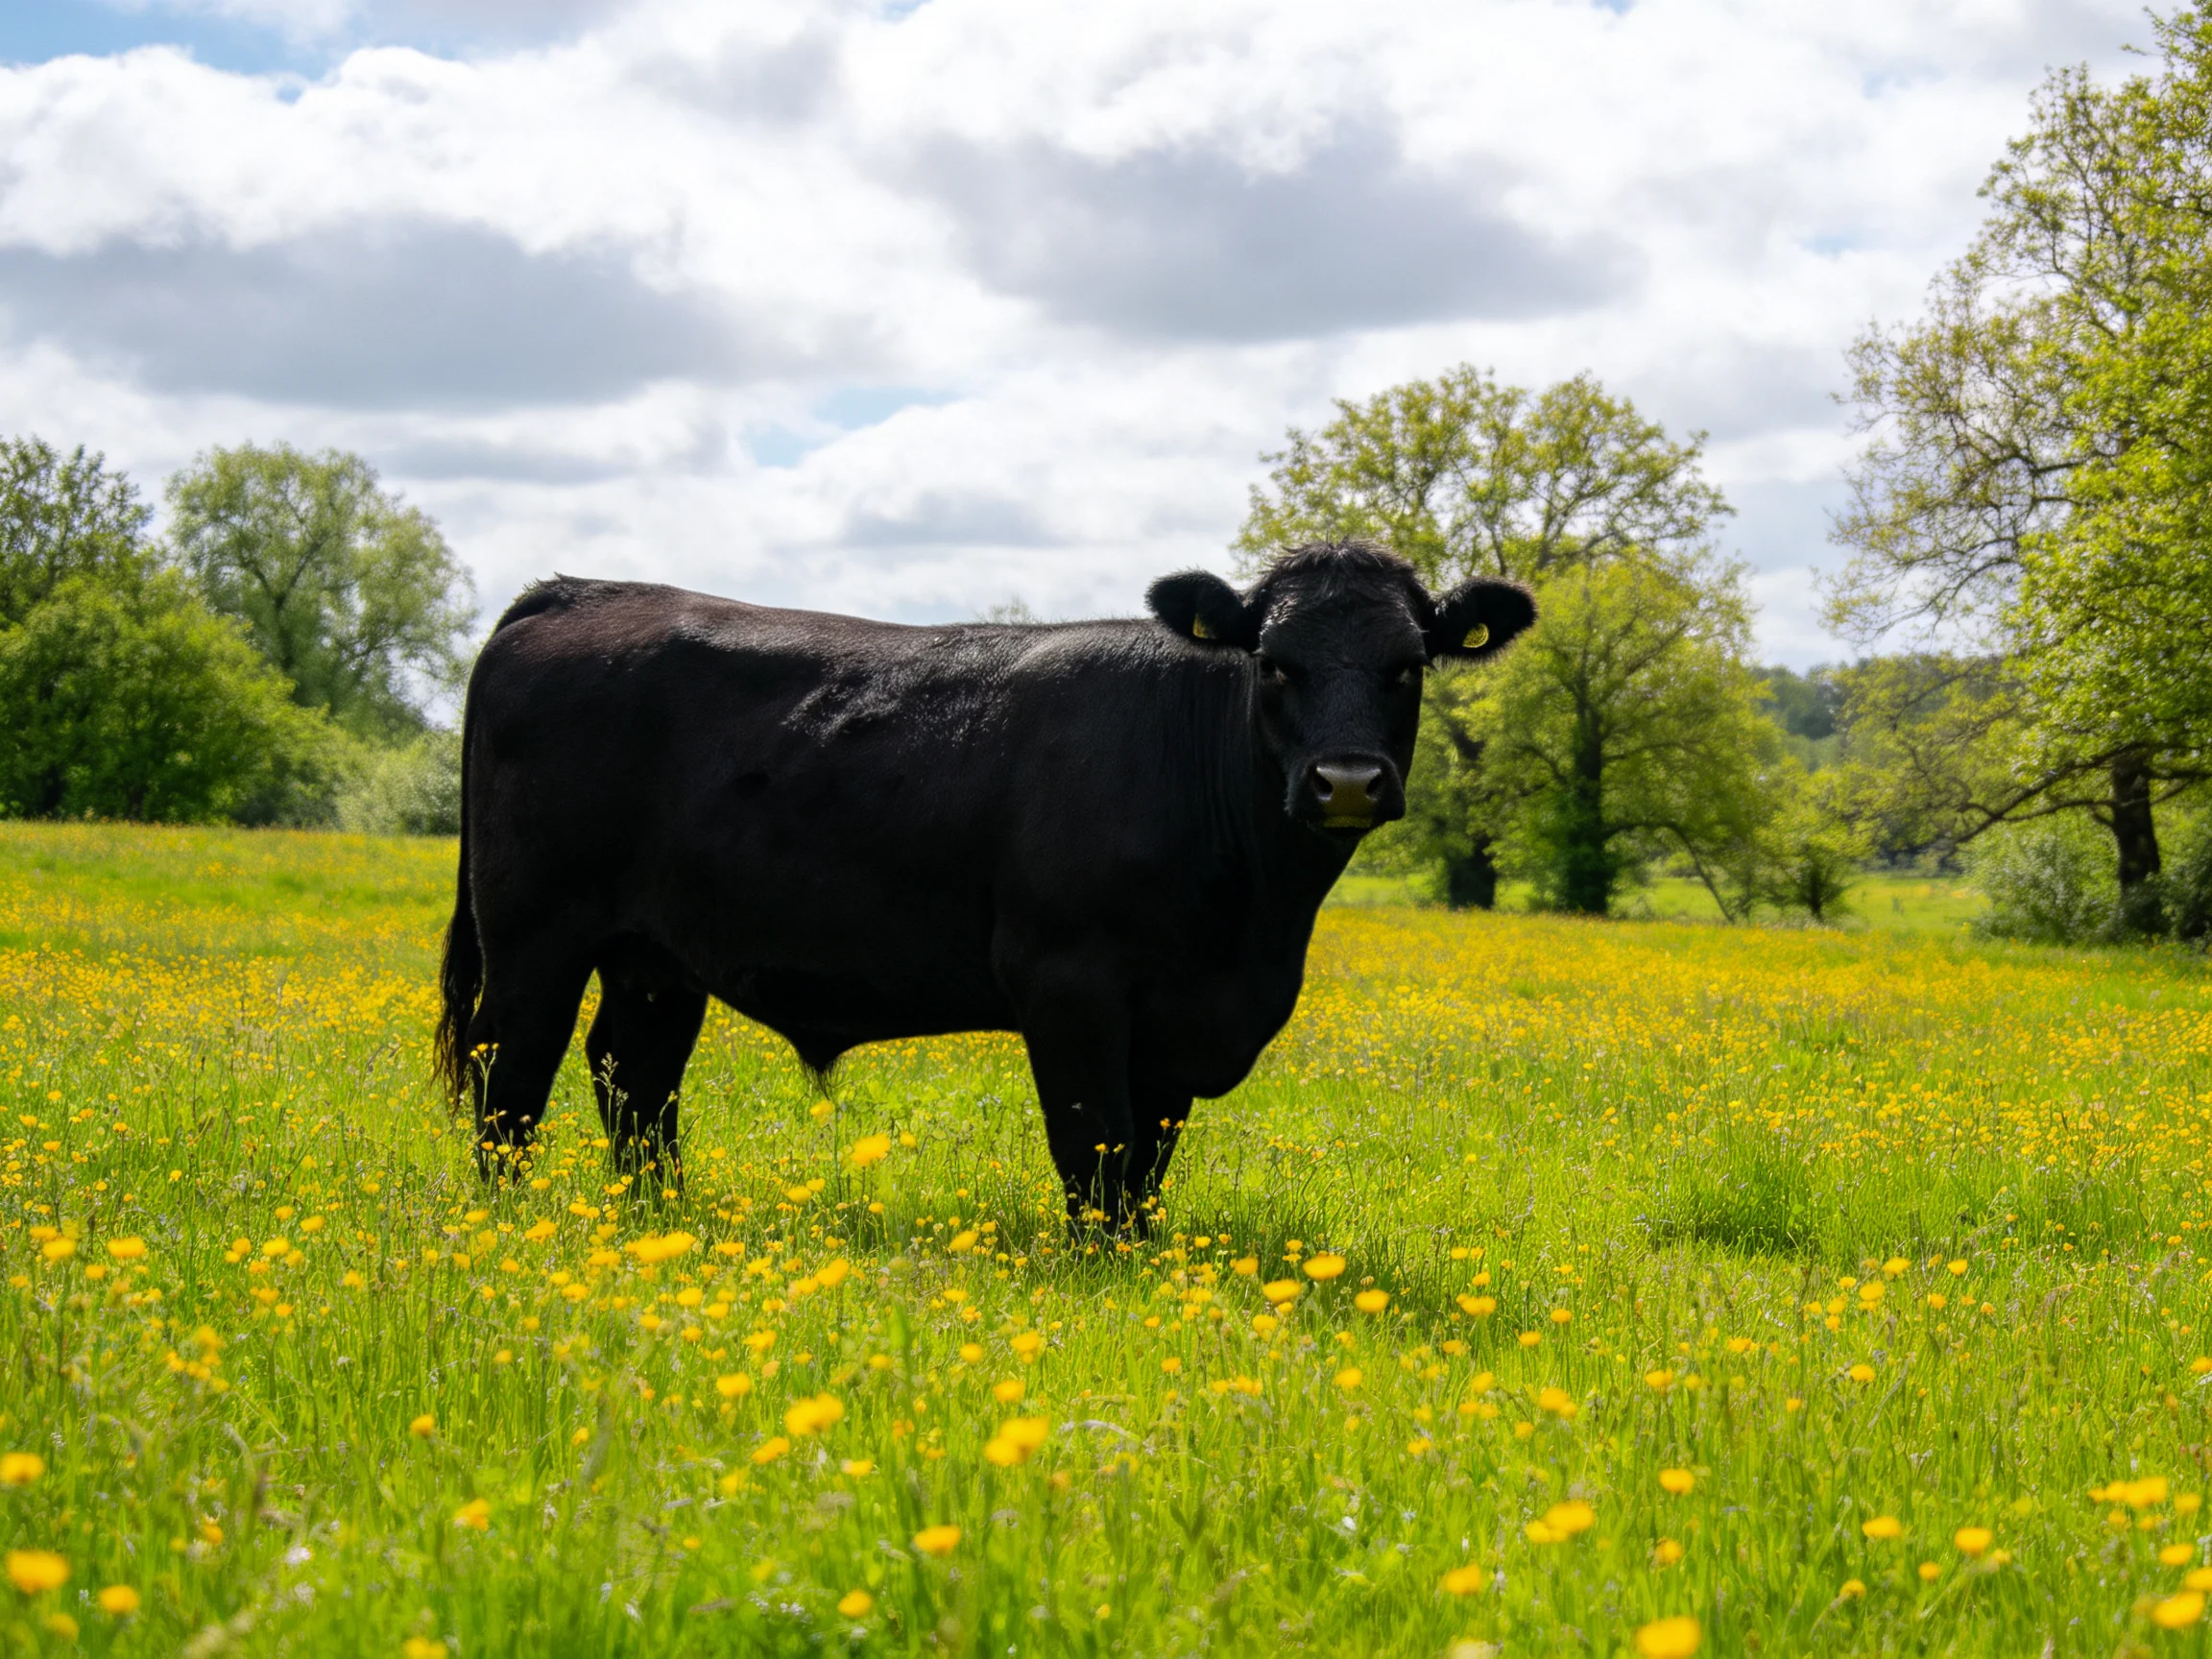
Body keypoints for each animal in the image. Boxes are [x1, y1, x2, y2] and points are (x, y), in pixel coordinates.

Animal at [434, 538, 1533, 1228]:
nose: (1345, 780)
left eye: (1409, 664)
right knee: (508, 1073)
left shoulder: (1178, 1026)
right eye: (1272, 662)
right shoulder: (1070, 985)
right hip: (533, 934)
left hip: (653, 957)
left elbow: (1149, 1166)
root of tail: (581, 590)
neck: (1256, 927)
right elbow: (1096, 1152)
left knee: (635, 1078)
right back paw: (510, 1226)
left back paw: (658, 1220)